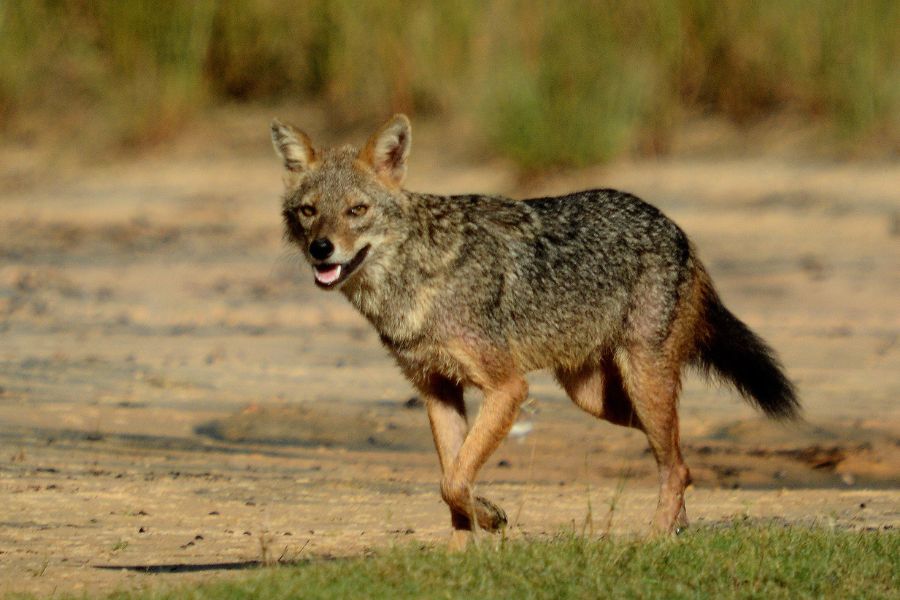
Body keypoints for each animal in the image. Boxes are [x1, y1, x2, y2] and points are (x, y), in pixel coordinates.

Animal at [270, 114, 799, 548]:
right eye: (309, 211)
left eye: (357, 210)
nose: (321, 249)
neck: (414, 282)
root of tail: (674, 227)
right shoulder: (437, 392)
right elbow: (451, 486)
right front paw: (460, 557)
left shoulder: (507, 387)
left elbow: (454, 481)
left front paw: (491, 519)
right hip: (597, 399)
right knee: (680, 460)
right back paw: (678, 529)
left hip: (641, 383)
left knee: (676, 466)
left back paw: (656, 541)